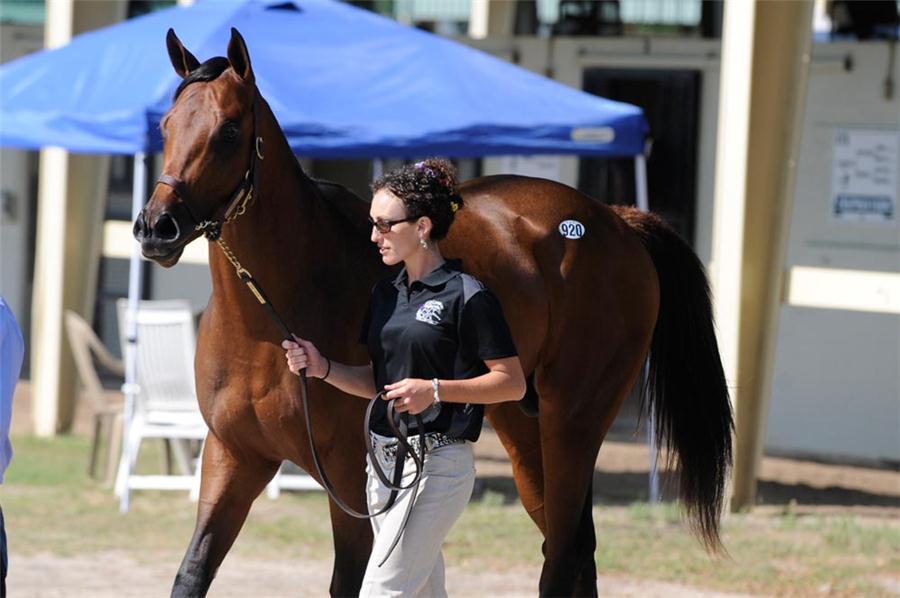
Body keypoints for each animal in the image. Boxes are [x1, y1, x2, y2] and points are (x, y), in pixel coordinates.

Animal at [137, 29, 736, 598]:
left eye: (229, 130)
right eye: (166, 125)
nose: (155, 228)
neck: (273, 317)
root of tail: (614, 219)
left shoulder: (355, 484)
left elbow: (350, 579)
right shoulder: (233, 459)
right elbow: (192, 572)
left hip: (574, 422)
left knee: (563, 556)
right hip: (524, 428)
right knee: (574, 551)